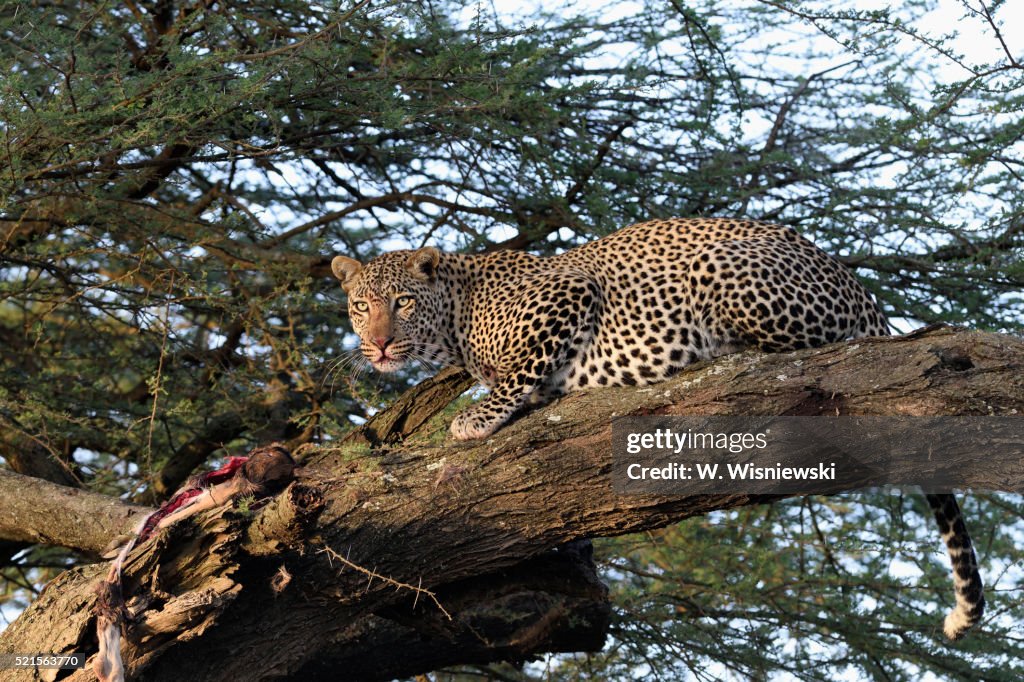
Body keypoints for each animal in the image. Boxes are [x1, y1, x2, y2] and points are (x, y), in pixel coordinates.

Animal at [333, 216, 983, 638]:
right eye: (361, 306)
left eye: (402, 302)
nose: (378, 345)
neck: (456, 320)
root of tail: (863, 293)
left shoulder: (568, 291)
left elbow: (521, 369)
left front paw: (478, 416)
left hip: (725, 268)